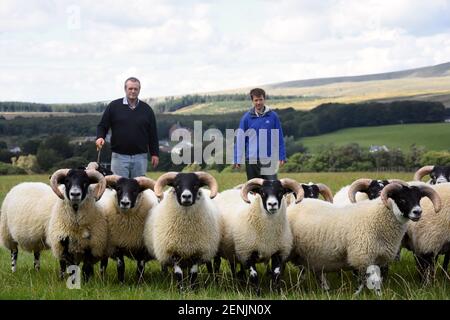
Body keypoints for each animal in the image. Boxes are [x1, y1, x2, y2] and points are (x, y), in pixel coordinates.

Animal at [288, 180, 440, 296]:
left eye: (418, 199)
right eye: (402, 199)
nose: (417, 212)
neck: (377, 217)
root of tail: (295, 204)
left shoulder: (379, 258)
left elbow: (376, 279)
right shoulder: (362, 255)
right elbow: (367, 279)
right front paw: (365, 294)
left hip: (313, 254)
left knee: (316, 272)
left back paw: (325, 290)